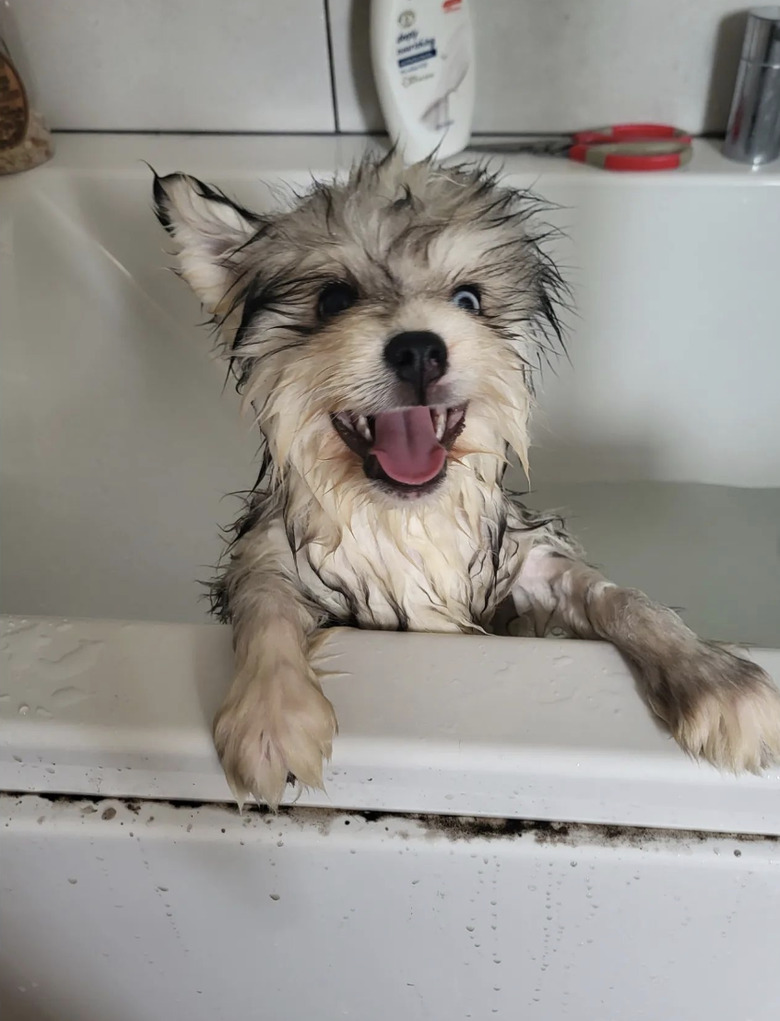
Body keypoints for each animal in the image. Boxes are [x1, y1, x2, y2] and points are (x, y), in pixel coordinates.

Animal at [152, 153, 780, 804]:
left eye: (469, 300)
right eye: (333, 300)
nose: (419, 350)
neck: (403, 517)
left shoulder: (522, 564)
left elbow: (625, 598)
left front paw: (712, 674)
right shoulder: (274, 551)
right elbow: (265, 603)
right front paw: (271, 712)